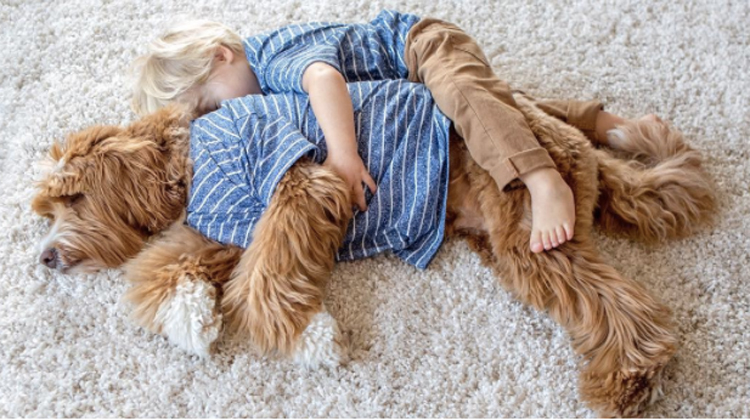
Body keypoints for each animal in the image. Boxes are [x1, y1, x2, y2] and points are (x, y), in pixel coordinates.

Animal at [33, 96, 716, 416]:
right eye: (50, 210)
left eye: (73, 198)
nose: (42, 257)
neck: (193, 158)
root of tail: (566, 140)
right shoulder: (222, 228)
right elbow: (160, 271)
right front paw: (190, 314)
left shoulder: (300, 184)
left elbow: (265, 276)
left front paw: (307, 335)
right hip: (513, 250)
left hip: (535, 232)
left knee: (624, 307)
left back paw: (632, 378)